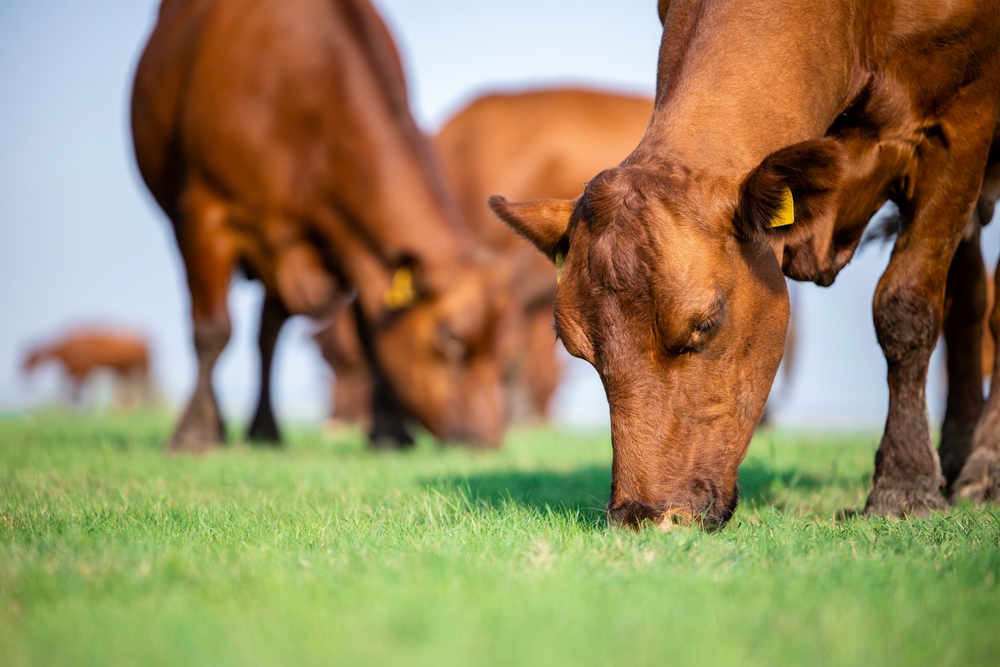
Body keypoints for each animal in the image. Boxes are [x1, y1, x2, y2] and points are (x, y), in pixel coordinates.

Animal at [21, 328, 153, 408]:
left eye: (31, 357)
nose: (21, 369)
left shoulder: (83, 369)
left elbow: (76, 391)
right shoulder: (74, 370)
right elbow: (71, 390)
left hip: (141, 367)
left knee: (142, 387)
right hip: (124, 369)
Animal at [134, 0, 520, 454]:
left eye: (506, 351)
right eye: (452, 338)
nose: (487, 441)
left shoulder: (351, 238)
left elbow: (370, 337)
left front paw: (389, 431)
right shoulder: (205, 214)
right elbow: (211, 329)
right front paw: (192, 435)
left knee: (267, 335)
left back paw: (264, 429)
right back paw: (219, 426)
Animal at [492, 1, 1000, 532]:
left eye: (706, 323)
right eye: (579, 349)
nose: (646, 516)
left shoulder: (962, 126)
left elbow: (905, 308)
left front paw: (905, 487)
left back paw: (981, 470)